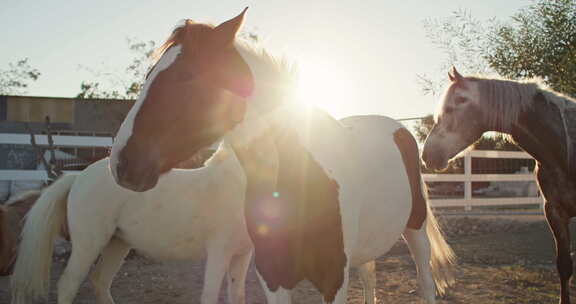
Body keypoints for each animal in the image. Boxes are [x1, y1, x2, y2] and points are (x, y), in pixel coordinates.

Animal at [10, 145, 253, 304]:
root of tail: (77, 177)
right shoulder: (219, 252)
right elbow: (210, 294)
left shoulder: (242, 255)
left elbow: (238, 295)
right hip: (88, 246)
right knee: (68, 284)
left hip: (118, 244)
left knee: (100, 281)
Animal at [110, 9, 456, 304]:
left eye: (187, 75)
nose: (121, 164)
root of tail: (397, 129)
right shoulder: (273, 276)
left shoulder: (333, 279)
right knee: (370, 278)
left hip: (416, 230)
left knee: (425, 280)